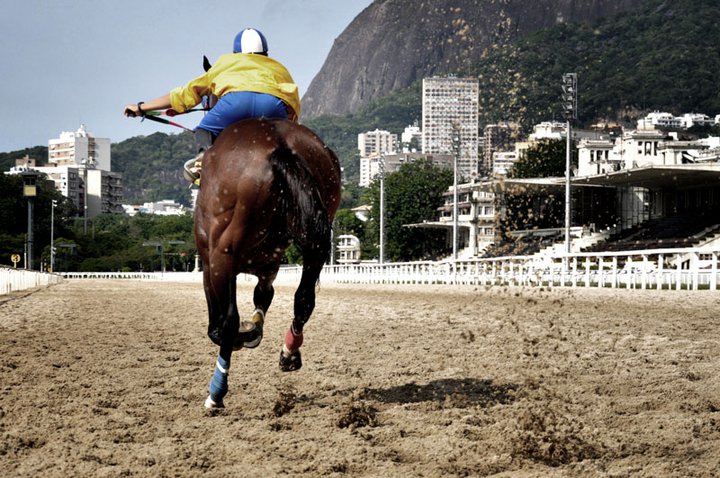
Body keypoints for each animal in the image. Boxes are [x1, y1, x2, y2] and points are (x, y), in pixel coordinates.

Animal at [194, 117, 344, 408]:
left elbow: (217, 324)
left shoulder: (211, 264)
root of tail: (280, 148)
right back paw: (289, 352)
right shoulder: (269, 268)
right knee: (304, 300)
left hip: (221, 255)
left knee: (228, 321)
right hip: (317, 235)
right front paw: (254, 331)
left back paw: (216, 393)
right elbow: (263, 297)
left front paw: (246, 334)